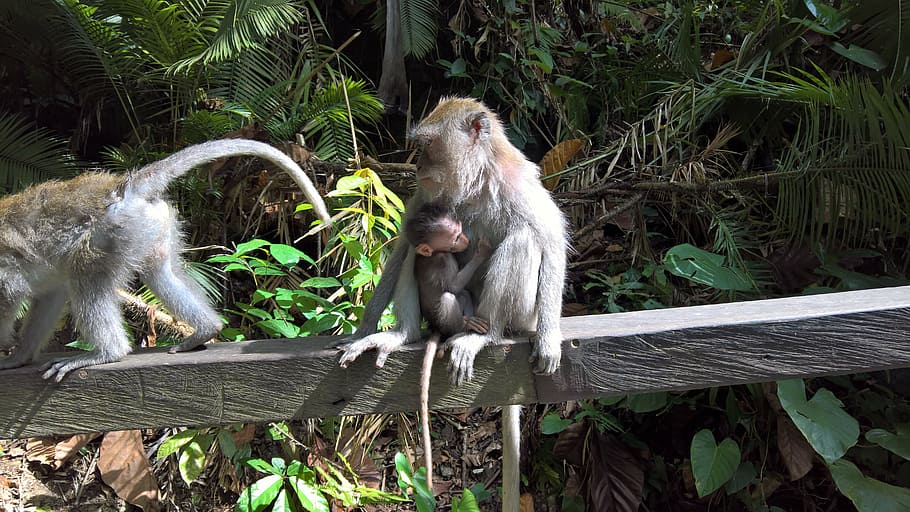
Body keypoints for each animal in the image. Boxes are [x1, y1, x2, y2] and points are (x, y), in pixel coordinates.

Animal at [0, 139, 331, 382]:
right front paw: (20, 356)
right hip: (149, 226)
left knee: (87, 276)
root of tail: (123, 186)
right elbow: (50, 295)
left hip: (110, 233)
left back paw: (107, 353)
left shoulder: (4, 275)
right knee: (157, 272)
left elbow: (11, 298)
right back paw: (207, 328)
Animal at [402, 200, 492, 491]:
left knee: (461, 295)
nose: (465, 240)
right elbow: (451, 285)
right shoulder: (441, 259)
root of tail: (436, 327)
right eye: (454, 237)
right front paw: (481, 253)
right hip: (443, 318)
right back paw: (460, 328)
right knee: (450, 296)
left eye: (461, 230)